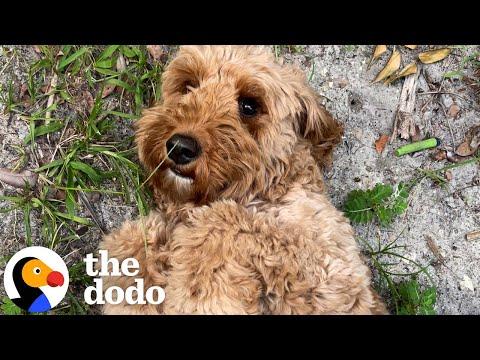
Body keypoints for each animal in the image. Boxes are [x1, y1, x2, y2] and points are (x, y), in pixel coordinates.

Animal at [99, 45, 388, 316]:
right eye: (189, 86)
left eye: (249, 106)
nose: (180, 147)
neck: (265, 191)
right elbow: (131, 248)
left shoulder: (322, 270)